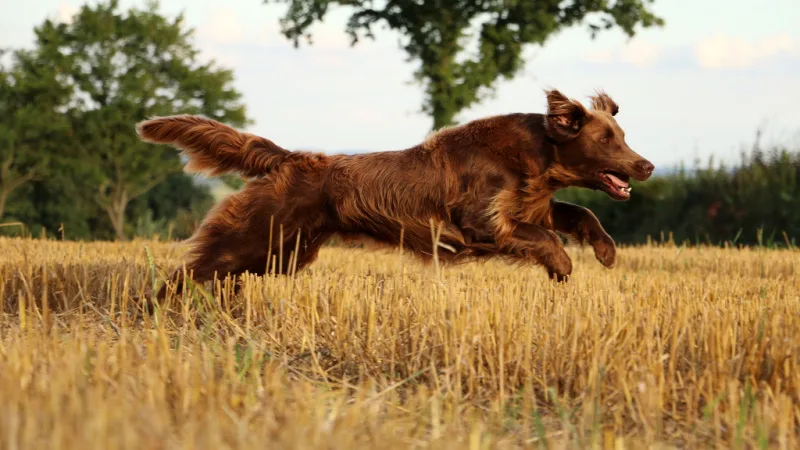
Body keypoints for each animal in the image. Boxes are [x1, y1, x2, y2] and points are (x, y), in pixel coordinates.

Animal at [134, 87, 652, 302]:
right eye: (608, 140)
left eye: (623, 136)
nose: (646, 166)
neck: (534, 154)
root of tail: (288, 158)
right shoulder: (479, 222)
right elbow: (544, 238)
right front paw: (562, 267)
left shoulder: (533, 205)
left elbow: (579, 213)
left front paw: (606, 252)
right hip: (257, 236)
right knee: (191, 269)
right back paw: (152, 308)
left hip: (284, 251)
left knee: (226, 275)